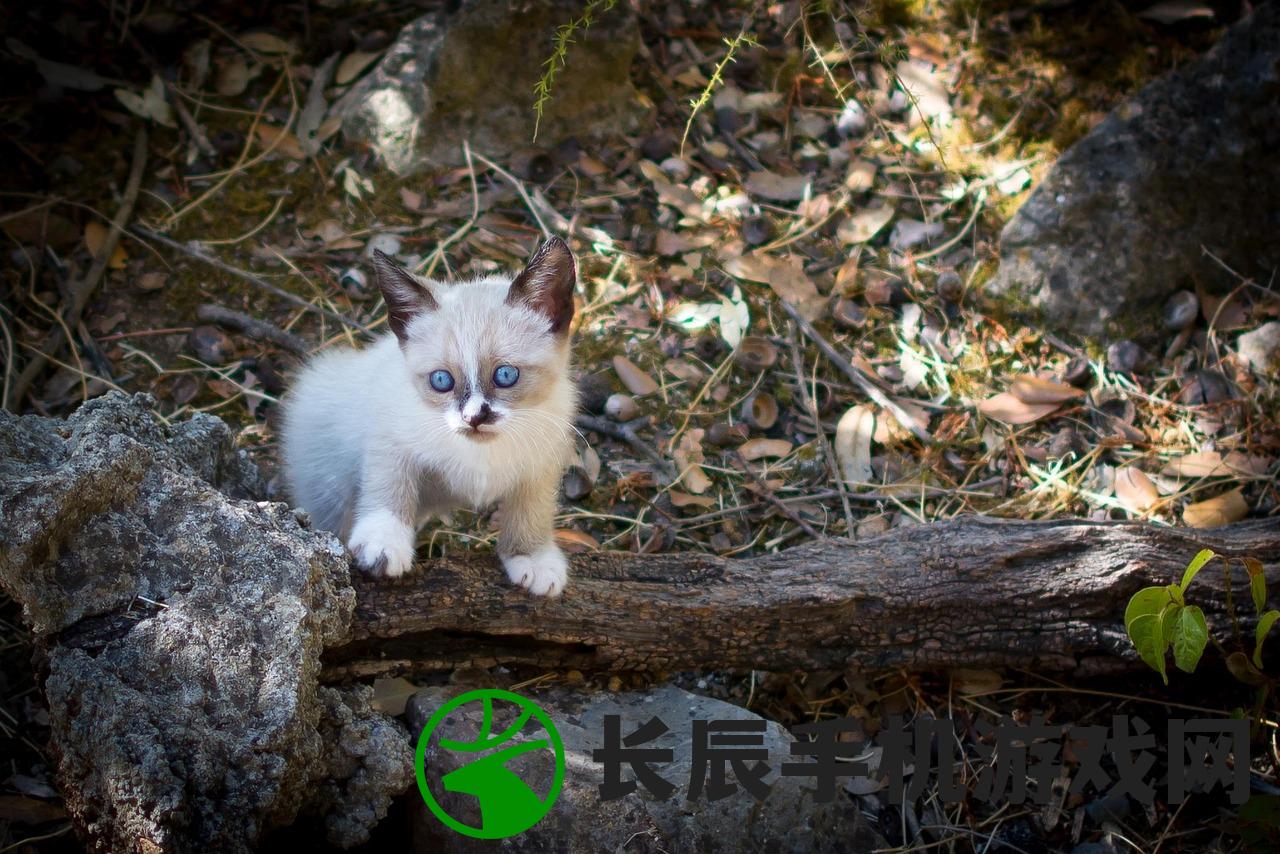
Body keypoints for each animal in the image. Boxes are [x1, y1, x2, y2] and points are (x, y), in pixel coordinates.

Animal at [284, 236, 581, 599]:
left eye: (506, 375)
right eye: (442, 381)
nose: (474, 417)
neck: (482, 452)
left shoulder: (542, 460)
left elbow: (532, 510)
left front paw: (532, 558)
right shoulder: (391, 438)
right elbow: (389, 486)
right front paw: (384, 543)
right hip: (330, 486)